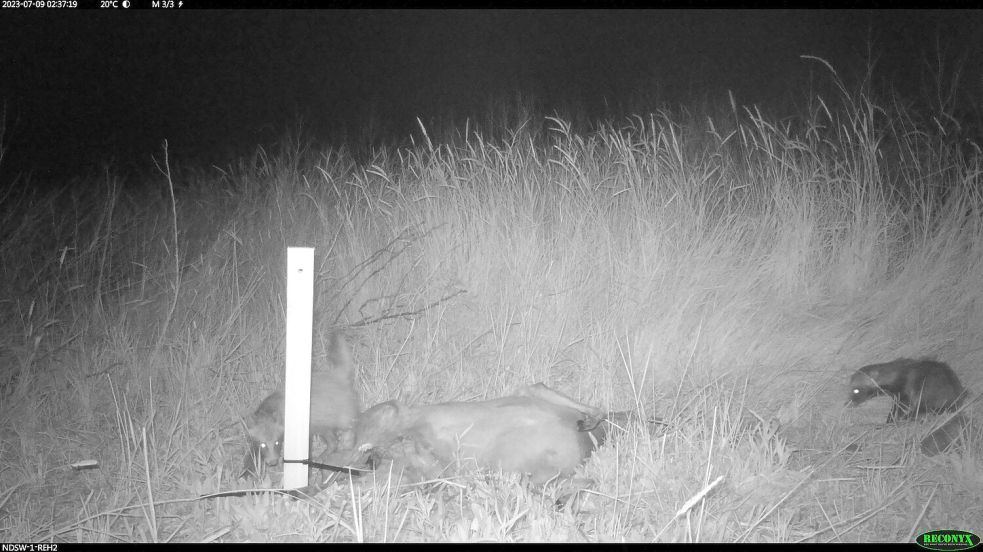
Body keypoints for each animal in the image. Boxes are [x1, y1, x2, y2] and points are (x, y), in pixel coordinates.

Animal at [243, 330, 362, 476]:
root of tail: (337, 375)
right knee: (333, 442)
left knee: (346, 432)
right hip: (323, 424)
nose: (272, 462)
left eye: (277, 442)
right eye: (263, 444)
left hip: (338, 420)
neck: (273, 408)